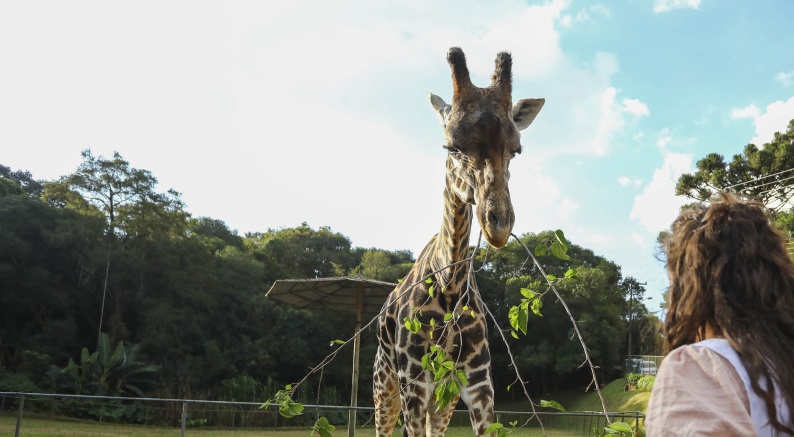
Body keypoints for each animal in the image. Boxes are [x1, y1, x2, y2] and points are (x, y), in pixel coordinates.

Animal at [372, 46, 544, 434]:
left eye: (516, 149)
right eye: (450, 146)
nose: (498, 224)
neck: (450, 284)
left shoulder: (478, 383)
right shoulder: (414, 381)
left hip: (443, 398)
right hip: (385, 386)